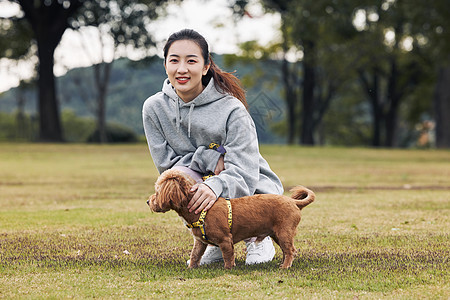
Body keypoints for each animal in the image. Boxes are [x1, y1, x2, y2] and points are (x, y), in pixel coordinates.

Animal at [146, 169, 314, 270]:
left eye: (157, 191)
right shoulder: (200, 242)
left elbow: (228, 256)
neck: (201, 210)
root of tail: (293, 202)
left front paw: (228, 268)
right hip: (277, 234)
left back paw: (285, 266)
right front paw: (191, 268)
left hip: (284, 232)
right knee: (287, 250)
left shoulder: (226, 239)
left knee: (291, 250)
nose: (148, 201)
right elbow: (194, 255)